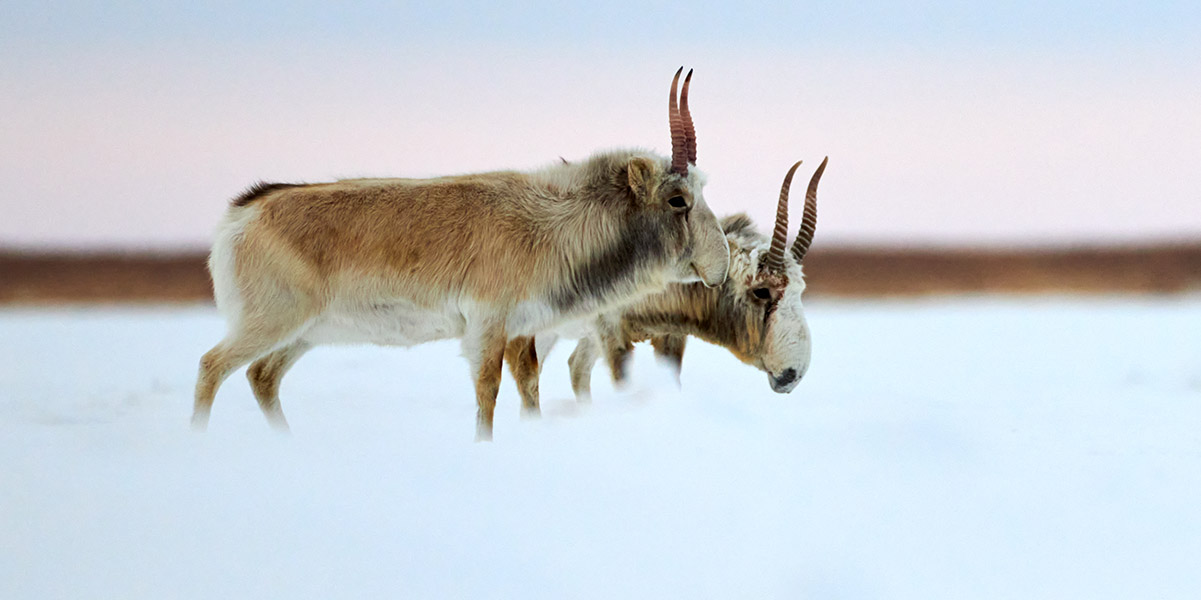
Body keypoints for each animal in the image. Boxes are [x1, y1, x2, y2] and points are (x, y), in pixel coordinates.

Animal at [193, 68, 729, 440]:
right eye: (677, 199)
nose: (721, 265)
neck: (551, 222)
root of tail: (242, 215)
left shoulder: (521, 331)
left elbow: (529, 386)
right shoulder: (487, 325)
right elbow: (487, 392)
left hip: (303, 333)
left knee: (261, 376)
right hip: (271, 321)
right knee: (211, 366)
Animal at [504, 158, 826, 406]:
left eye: (799, 290)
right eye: (762, 291)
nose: (792, 374)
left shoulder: (668, 336)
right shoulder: (612, 333)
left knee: (575, 368)